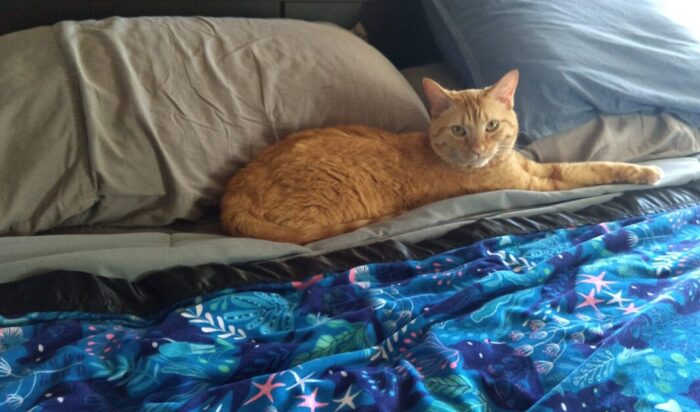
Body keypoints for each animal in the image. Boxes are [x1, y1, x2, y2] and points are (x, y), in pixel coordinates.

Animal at [220, 70, 660, 245]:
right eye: (460, 131)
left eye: (492, 126)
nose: (479, 150)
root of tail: (233, 194)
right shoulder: (540, 182)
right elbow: (589, 170)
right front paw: (645, 171)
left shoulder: (534, 169)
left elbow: (591, 163)